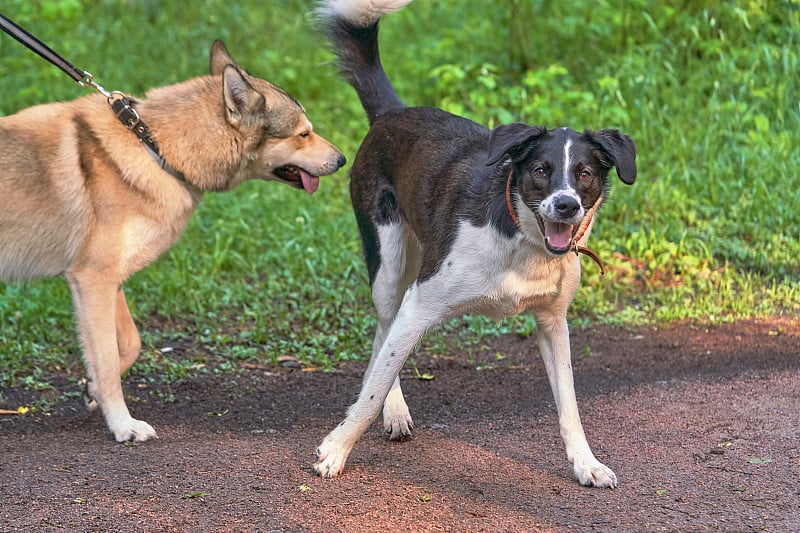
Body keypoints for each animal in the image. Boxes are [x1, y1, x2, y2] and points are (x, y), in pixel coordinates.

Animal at [0, 40, 344, 440]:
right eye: (303, 134)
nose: (343, 159)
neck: (155, 147)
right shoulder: (92, 280)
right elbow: (107, 364)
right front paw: (123, 426)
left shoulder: (106, 282)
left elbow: (127, 347)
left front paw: (91, 391)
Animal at [316, 0, 636, 486]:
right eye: (540, 170)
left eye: (585, 173)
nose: (566, 206)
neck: (521, 239)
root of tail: (392, 113)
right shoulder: (421, 303)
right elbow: (372, 391)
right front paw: (337, 448)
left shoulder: (553, 323)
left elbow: (570, 406)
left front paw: (587, 463)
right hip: (389, 262)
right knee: (384, 332)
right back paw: (394, 409)